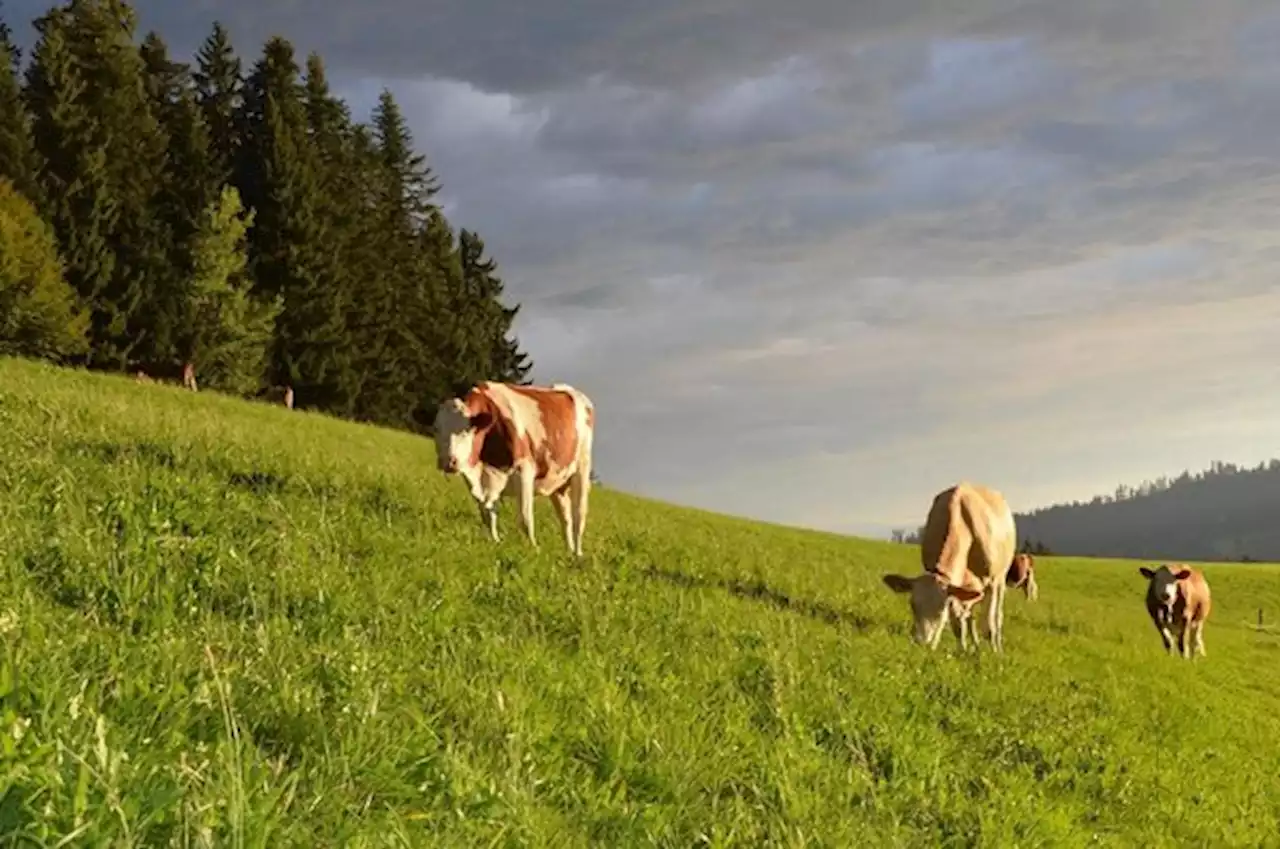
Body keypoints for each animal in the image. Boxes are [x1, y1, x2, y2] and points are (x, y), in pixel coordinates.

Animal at [427, 381, 591, 555]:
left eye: (466, 430)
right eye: (436, 429)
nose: (449, 462)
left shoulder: (524, 470)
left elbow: (525, 518)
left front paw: (533, 549)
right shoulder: (481, 478)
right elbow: (487, 513)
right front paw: (495, 541)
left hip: (582, 469)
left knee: (578, 516)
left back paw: (578, 554)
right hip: (558, 482)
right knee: (565, 518)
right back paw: (569, 551)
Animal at [880, 481, 1018, 653]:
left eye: (941, 611)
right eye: (912, 605)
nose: (922, 644)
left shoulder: (991, 582)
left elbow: (988, 626)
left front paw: (994, 653)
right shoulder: (954, 590)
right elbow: (958, 626)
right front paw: (962, 650)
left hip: (1000, 579)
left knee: (997, 617)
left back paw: (996, 647)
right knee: (969, 617)